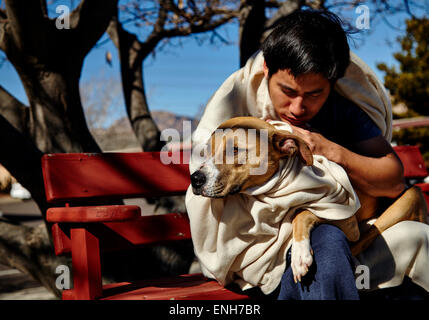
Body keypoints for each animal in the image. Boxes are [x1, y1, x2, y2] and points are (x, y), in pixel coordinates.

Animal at [191, 116, 428, 282]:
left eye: (235, 149)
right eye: (206, 151)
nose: (195, 179)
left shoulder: (345, 217)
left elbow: (302, 212)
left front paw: (299, 255)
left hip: (410, 196)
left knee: (366, 236)